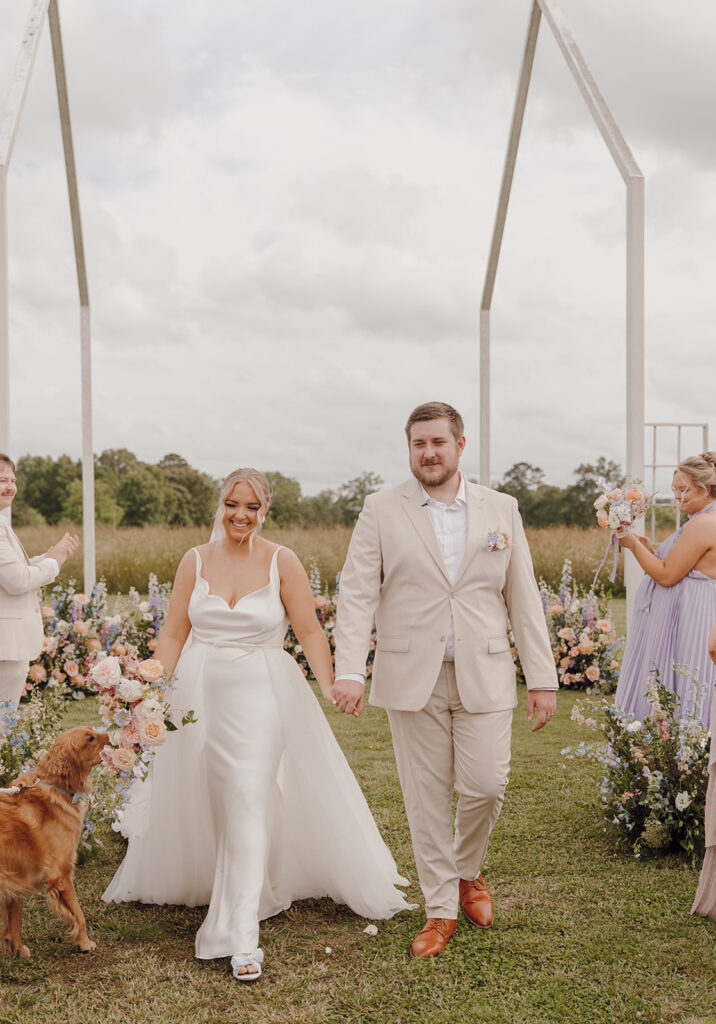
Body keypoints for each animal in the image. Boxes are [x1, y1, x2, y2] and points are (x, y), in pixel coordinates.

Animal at [0, 724, 110, 954]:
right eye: (90, 738)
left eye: (92, 730)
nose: (111, 735)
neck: (56, 789)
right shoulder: (61, 875)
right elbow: (79, 914)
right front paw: (85, 943)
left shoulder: (15, 881)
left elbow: (14, 922)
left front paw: (18, 951)